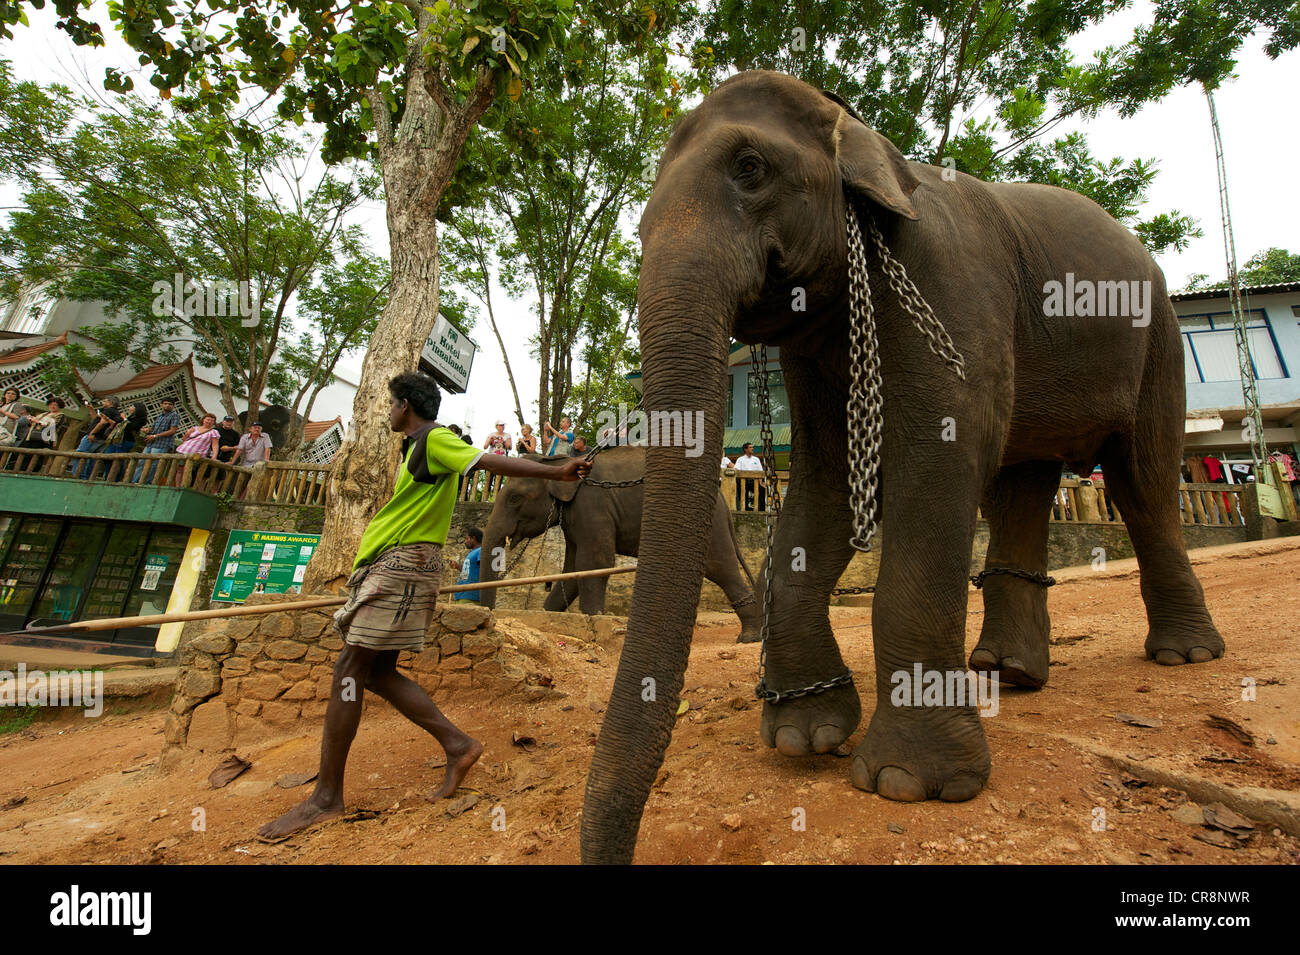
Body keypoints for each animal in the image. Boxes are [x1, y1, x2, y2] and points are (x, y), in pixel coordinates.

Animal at [477, 446, 762, 641]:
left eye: (514, 498)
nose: (491, 617)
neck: (560, 461)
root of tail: (724, 501)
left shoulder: (593, 506)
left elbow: (595, 563)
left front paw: (593, 619)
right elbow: (572, 570)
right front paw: (550, 616)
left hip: (711, 527)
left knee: (721, 567)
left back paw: (747, 638)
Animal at [580, 71, 1224, 863]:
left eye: (750, 168)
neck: (863, 141)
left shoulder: (948, 288)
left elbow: (937, 462)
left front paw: (911, 783)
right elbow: (825, 486)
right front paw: (805, 735)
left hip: (1159, 335)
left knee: (1143, 478)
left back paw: (1184, 657)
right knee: (1026, 479)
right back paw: (1006, 672)